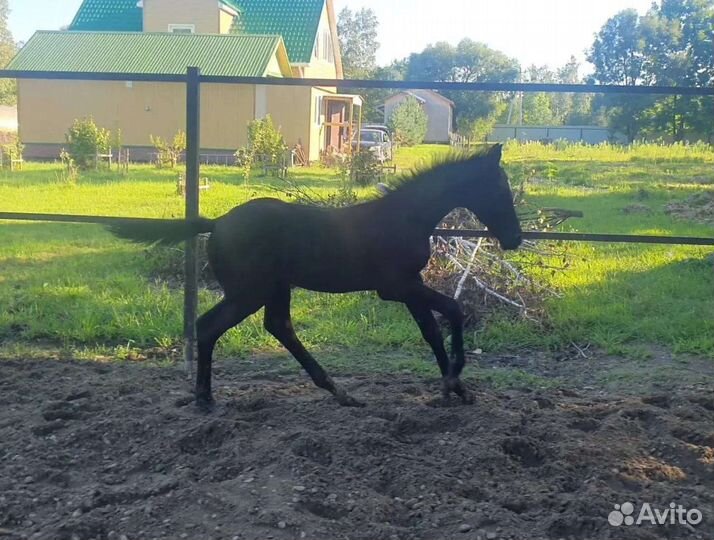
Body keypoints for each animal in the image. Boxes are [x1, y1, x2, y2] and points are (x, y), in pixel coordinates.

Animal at [108, 144, 522, 410]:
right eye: (500, 189)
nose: (515, 238)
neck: (406, 217)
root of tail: (217, 222)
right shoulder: (396, 287)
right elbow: (452, 309)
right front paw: (454, 380)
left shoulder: (409, 286)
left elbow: (431, 332)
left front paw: (457, 390)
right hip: (248, 292)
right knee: (210, 325)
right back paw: (205, 398)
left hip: (274, 288)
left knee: (279, 327)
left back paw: (339, 392)